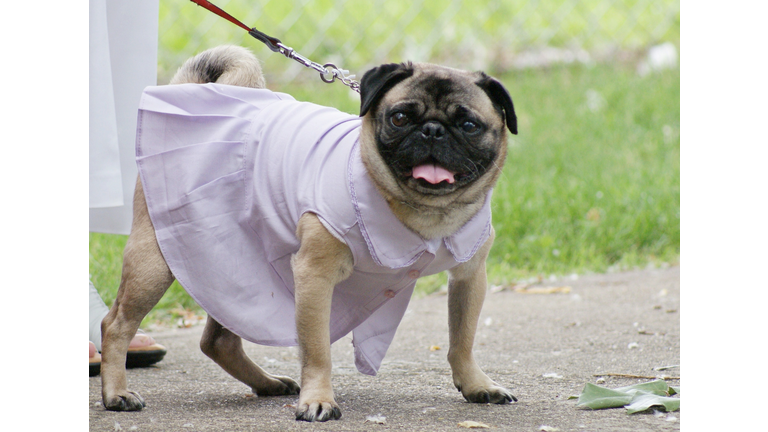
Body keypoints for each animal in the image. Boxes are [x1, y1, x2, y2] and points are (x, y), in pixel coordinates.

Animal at [97, 44, 516, 422]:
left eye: (468, 125)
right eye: (399, 118)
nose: (431, 130)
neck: (424, 211)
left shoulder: (469, 276)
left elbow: (462, 340)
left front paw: (477, 384)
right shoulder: (315, 276)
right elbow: (317, 352)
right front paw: (319, 400)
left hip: (230, 262)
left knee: (219, 340)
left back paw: (266, 383)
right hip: (156, 261)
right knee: (116, 325)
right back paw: (116, 394)